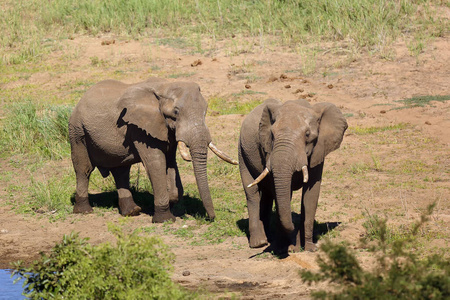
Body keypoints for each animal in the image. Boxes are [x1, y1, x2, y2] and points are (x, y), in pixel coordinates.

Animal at [68, 77, 237, 223]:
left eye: (205, 110)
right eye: (176, 112)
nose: (211, 218)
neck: (165, 86)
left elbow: (170, 162)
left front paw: (172, 200)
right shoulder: (140, 128)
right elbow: (156, 163)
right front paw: (165, 219)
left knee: (121, 170)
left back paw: (132, 212)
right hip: (77, 131)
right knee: (84, 169)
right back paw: (84, 211)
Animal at [239, 98, 348, 251]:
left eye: (307, 134)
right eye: (272, 135)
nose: (295, 239)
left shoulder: (318, 150)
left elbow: (311, 194)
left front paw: (309, 248)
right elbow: (282, 192)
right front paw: (284, 248)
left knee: (266, 194)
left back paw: (268, 238)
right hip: (242, 152)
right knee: (252, 193)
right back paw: (259, 242)